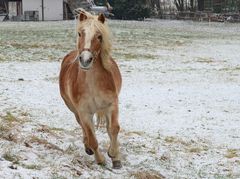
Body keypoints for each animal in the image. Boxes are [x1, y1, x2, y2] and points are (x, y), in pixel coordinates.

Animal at [58, 10, 122, 169]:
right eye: (80, 33)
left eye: (99, 36)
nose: (85, 60)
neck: (93, 83)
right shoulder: (84, 112)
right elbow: (92, 138)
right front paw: (100, 160)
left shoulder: (112, 105)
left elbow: (113, 129)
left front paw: (114, 156)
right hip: (75, 111)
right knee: (84, 128)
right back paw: (87, 148)